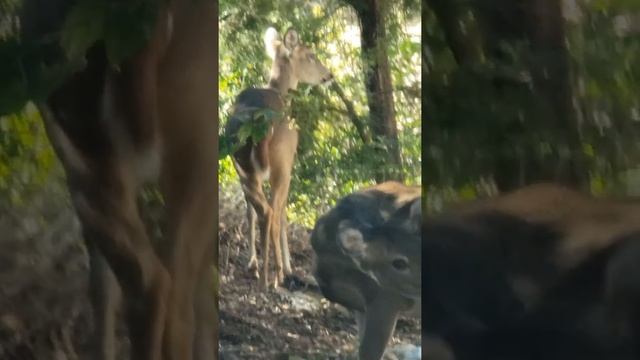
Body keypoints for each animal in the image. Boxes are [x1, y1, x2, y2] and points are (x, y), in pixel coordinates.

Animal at [225, 26, 332, 288]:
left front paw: (252, 263)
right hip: (280, 163)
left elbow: (250, 212)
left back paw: (262, 274)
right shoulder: (290, 164)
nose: (329, 75)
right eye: (310, 55)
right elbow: (284, 211)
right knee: (273, 212)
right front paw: (287, 265)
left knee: (261, 211)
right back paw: (277, 275)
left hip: (242, 167)